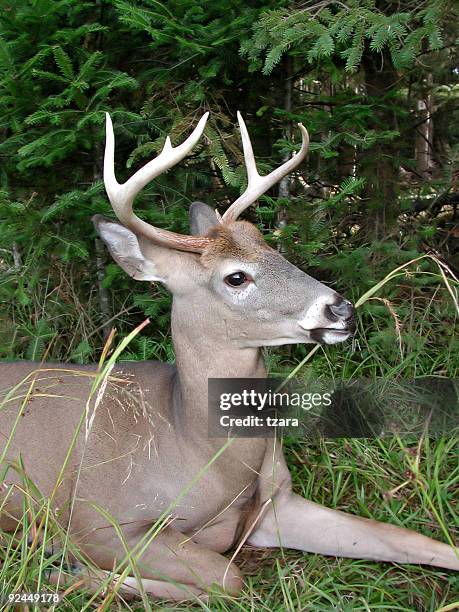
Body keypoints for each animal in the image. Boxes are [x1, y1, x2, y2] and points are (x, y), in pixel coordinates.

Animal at [0, 111, 458, 604]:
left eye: (273, 248)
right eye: (236, 277)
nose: (341, 309)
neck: (197, 446)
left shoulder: (277, 502)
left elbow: (414, 540)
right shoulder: (100, 518)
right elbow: (227, 579)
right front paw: (70, 568)